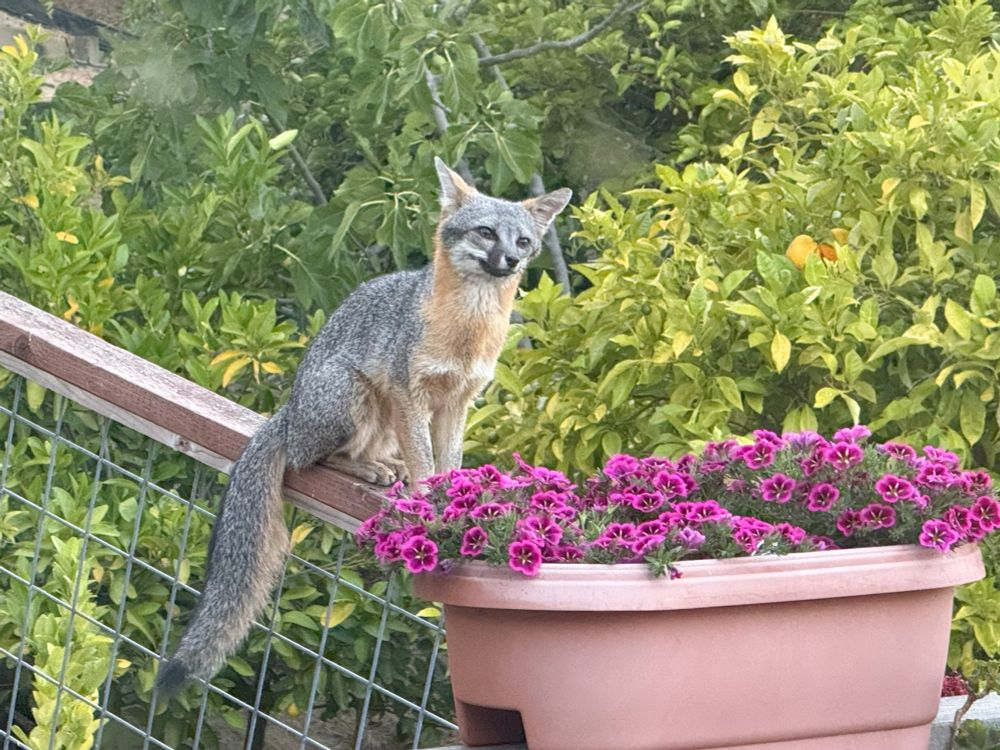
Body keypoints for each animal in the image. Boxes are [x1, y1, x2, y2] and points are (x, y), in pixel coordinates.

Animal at [155, 158, 572, 693]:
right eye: (485, 232)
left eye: (522, 240)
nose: (512, 262)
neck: (466, 333)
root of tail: (288, 411)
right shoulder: (409, 392)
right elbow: (426, 462)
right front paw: (429, 498)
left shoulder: (458, 401)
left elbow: (449, 460)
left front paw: (459, 494)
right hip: (356, 397)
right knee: (313, 458)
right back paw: (368, 469)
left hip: (382, 416)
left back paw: (384, 464)